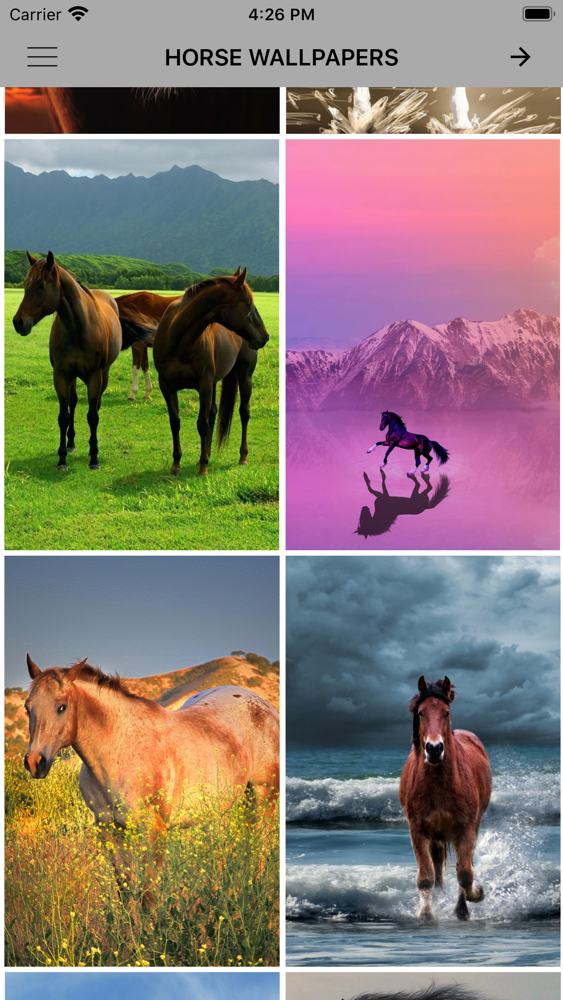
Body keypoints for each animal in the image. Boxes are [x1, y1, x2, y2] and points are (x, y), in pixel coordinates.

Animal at [12, 252, 151, 470]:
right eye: (26, 285)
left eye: (41, 285)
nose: (18, 322)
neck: (78, 328)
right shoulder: (61, 375)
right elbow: (64, 415)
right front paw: (62, 458)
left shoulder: (94, 376)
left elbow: (93, 416)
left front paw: (94, 457)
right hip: (73, 377)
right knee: (74, 402)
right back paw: (71, 443)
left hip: (103, 375)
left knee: (96, 406)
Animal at [23, 655, 279, 891]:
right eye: (28, 708)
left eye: (62, 706)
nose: (35, 762)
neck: (120, 747)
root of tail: (265, 706)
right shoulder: (110, 829)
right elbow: (125, 889)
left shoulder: (152, 829)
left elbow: (149, 892)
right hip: (219, 811)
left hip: (264, 796)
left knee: (261, 846)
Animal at [153, 268, 269, 476]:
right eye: (248, 304)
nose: (264, 337)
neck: (179, 340)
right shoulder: (166, 386)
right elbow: (175, 422)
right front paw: (176, 464)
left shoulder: (204, 385)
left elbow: (202, 423)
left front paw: (203, 468)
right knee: (214, 412)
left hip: (244, 377)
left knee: (244, 413)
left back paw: (242, 457)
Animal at [399, 676, 492, 925]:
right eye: (421, 713)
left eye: (446, 712)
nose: (434, 749)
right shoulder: (418, 831)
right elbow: (426, 876)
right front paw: (426, 914)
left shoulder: (466, 829)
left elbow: (465, 873)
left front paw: (473, 898)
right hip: (436, 835)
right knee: (438, 862)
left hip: (474, 825)